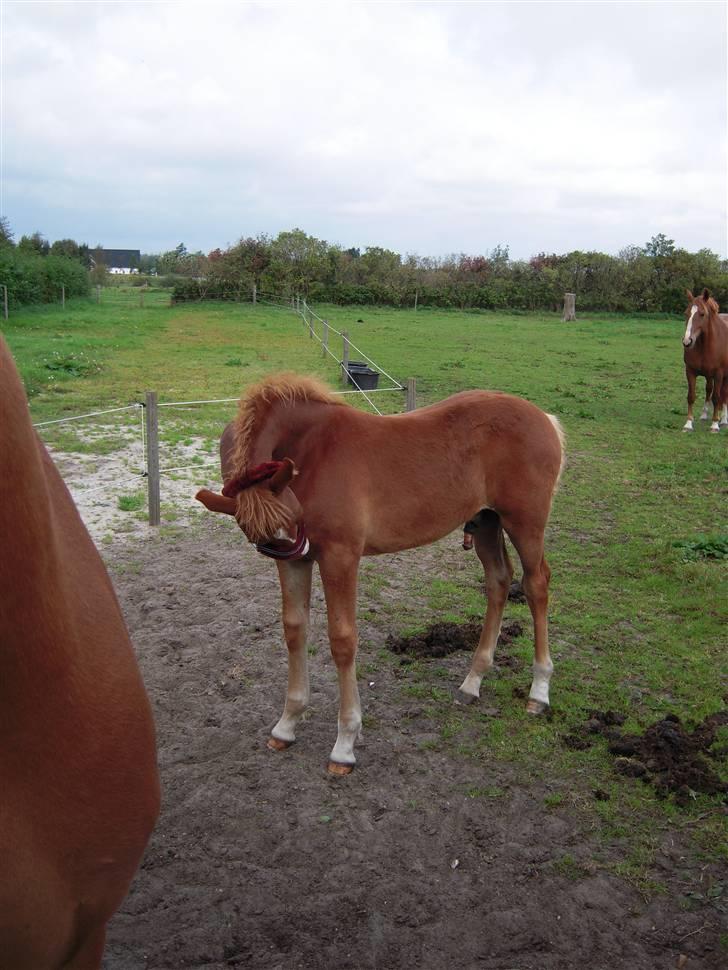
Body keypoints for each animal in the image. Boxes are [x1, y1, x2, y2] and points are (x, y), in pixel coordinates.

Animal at [196, 370, 564, 772]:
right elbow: (295, 630)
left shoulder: (340, 556)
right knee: (499, 581)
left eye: (292, 517)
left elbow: (342, 640)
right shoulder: (291, 559)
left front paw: (345, 743)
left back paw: (539, 692)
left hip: (525, 523)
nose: (300, 544)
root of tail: (544, 418)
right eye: (264, 540)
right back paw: (472, 682)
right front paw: (287, 724)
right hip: (485, 521)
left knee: (536, 584)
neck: (312, 448)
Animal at [684, 288, 728, 432]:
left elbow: (717, 397)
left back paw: (724, 420)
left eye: (702, 314)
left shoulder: (719, 374)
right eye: (686, 313)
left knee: (724, 394)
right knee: (709, 389)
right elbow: (691, 396)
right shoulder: (690, 371)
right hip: (709, 376)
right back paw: (704, 414)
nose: (687, 341)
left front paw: (715, 424)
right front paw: (688, 424)